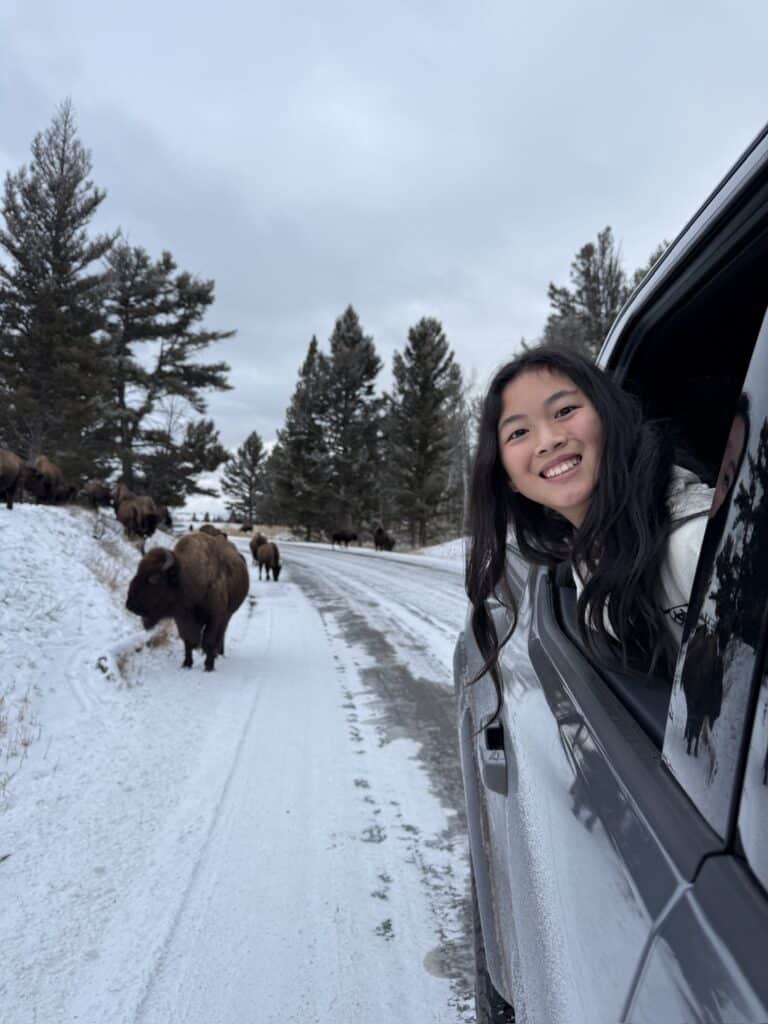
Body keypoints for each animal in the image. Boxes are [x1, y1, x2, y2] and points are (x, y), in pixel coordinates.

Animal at [125, 531, 249, 671]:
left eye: (154, 578)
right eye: (138, 571)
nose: (130, 605)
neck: (188, 578)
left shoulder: (215, 617)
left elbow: (209, 640)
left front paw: (208, 666)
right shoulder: (182, 618)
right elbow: (187, 640)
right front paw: (187, 663)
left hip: (228, 614)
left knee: (221, 634)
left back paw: (219, 653)